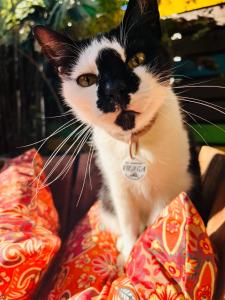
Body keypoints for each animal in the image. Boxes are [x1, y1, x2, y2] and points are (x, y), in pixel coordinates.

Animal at [34, 0, 206, 262]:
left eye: (137, 59)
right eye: (86, 80)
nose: (116, 89)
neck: (135, 142)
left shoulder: (170, 187)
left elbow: (160, 218)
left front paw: (143, 253)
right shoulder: (117, 187)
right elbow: (128, 221)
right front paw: (129, 250)